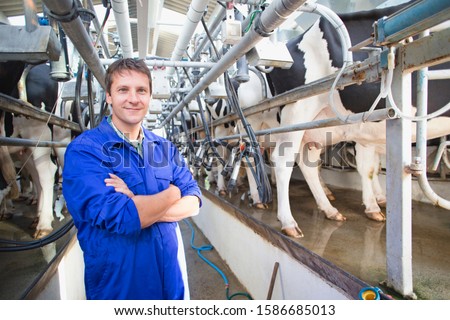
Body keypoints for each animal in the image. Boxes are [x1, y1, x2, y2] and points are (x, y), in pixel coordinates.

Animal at [264, 2, 450, 238]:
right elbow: (368, 168)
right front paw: (376, 204)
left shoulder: (367, 134)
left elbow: (370, 169)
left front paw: (375, 205)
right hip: (296, 111)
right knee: (282, 161)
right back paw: (288, 221)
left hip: (315, 127)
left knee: (308, 164)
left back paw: (329, 209)